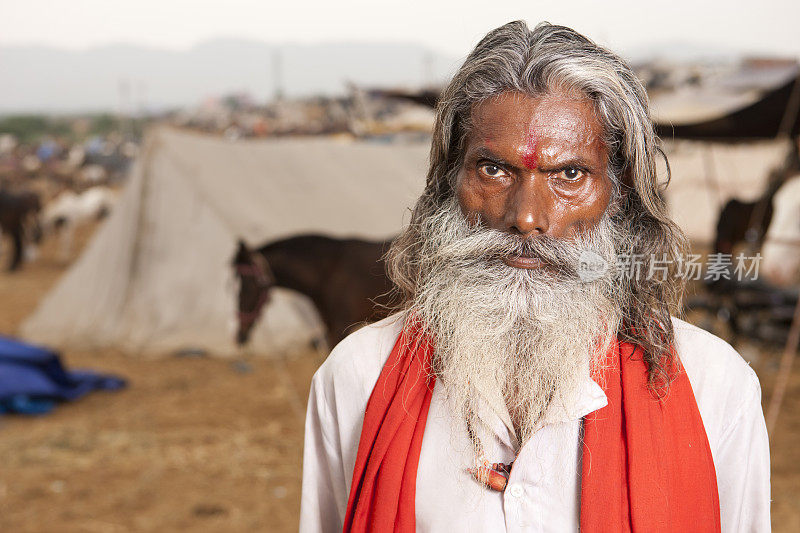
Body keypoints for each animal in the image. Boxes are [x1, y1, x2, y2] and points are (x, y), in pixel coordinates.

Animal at [230, 235, 396, 348]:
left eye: (247, 289)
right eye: (233, 288)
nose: (239, 336)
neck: (329, 271)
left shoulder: (340, 326)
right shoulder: (329, 326)